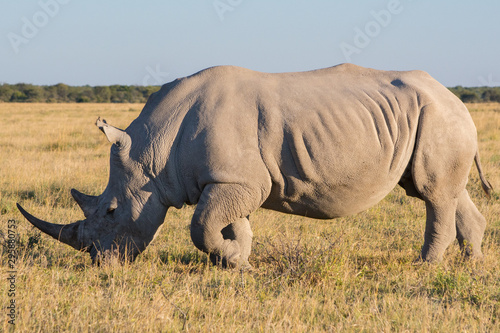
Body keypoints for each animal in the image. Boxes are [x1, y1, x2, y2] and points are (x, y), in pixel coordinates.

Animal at [16, 63, 492, 266]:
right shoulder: (233, 180)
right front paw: (237, 262)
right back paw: (470, 264)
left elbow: (201, 226)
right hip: (431, 118)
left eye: (112, 211)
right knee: (444, 191)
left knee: (433, 193)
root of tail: (455, 97)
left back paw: (425, 267)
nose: (102, 263)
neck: (155, 150)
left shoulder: (238, 180)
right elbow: (229, 223)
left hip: (438, 115)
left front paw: (229, 258)